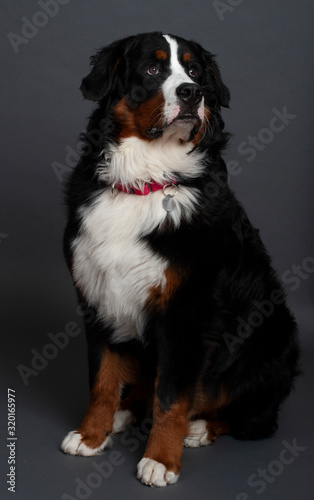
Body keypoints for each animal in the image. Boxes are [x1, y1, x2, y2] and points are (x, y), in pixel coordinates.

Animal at [60, 31, 300, 484]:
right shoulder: (97, 296)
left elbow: (171, 396)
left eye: (194, 71)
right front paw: (92, 435)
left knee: (257, 419)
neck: (147, 181)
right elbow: (101, 380)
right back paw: (125, 413)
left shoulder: (187, 312)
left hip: (272, 339)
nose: (193, 93)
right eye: (153, 69)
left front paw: (160, 459)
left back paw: (200, 427)